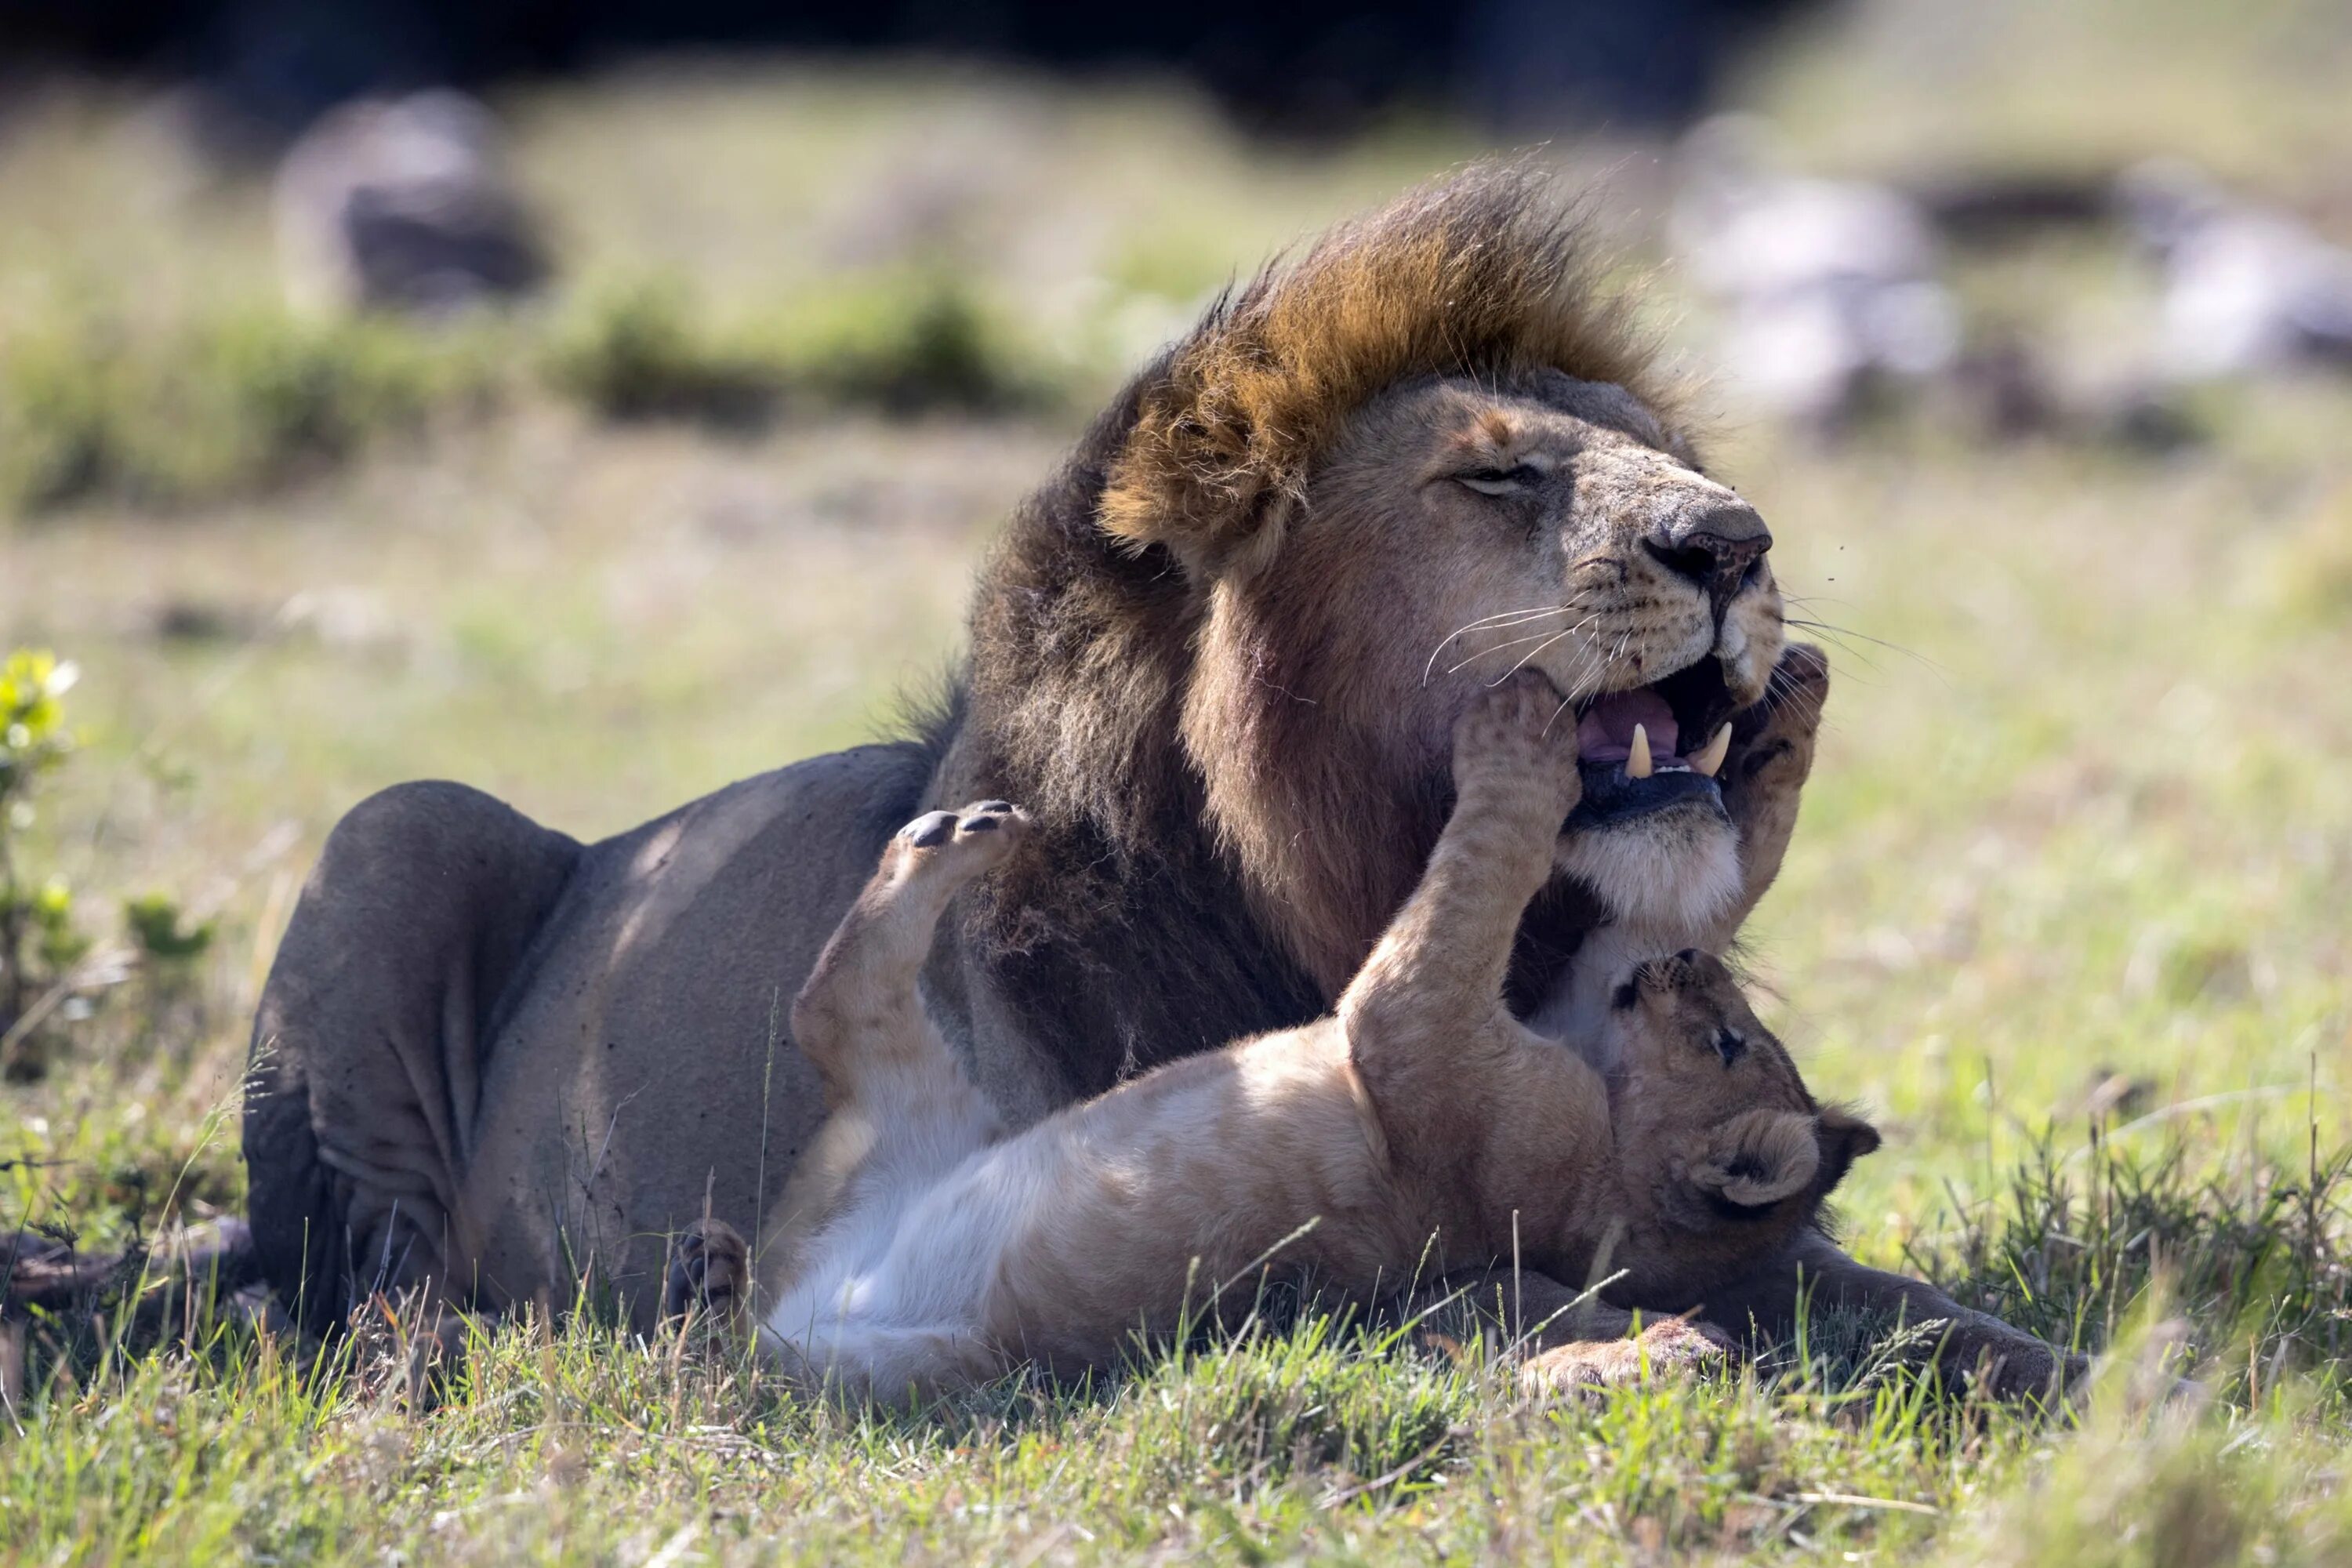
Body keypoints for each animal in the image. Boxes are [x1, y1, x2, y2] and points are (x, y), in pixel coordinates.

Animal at [677, 681, 1872, 1401]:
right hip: (923, 1128)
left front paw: (1520, 738)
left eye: (1726, 1040)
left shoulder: (1417, 1036)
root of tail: (802, 1302)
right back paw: (953, 836)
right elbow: (1689, 884)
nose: (1696, 971)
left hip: (918, 1354)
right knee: (834, 1007)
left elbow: (1487, 862)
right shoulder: (1569, 1005)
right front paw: (1787, 726)